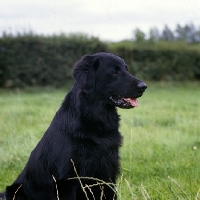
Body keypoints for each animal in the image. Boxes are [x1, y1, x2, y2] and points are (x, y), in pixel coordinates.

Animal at [0, 52, 147, 199]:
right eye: (114, 71)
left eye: (126, 69)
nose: (144, 86)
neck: (97, 118)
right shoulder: (67, 181)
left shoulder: (109, 173)